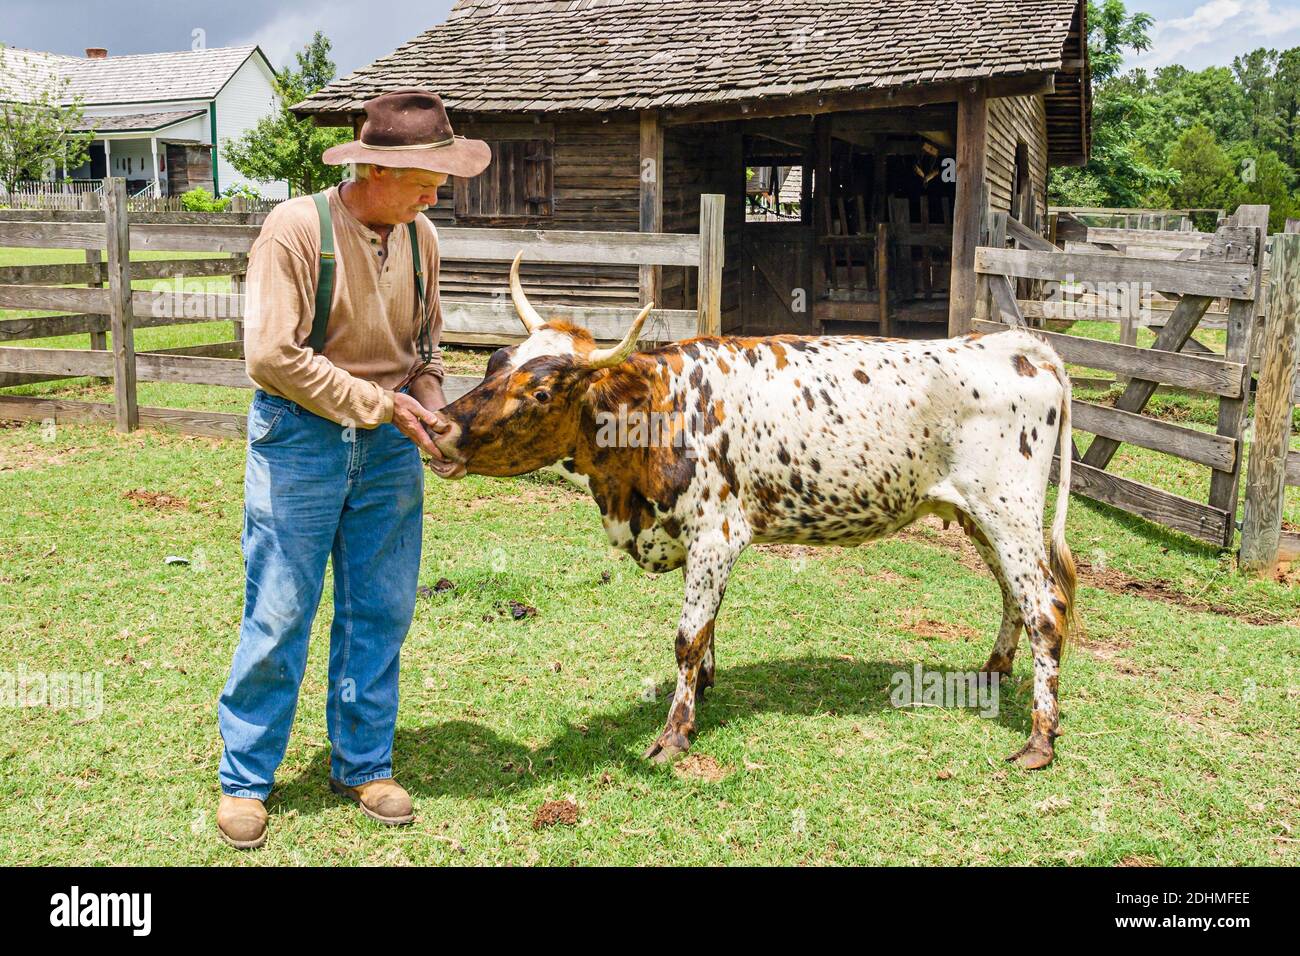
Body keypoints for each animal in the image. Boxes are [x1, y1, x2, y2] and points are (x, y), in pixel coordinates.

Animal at [426, 254, 1076, 770]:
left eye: (539, 392)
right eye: (495, 361)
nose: (439, 428)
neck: (660, 409)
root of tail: (1018, 346)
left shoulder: (717, 535)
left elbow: (688, 635)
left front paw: (675, 732)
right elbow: (707, 626)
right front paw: (706, 688)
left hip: (1010, 514)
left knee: (1046, 608)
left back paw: (1040, 741)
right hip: (980, 518)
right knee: (1013, 596)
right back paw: (993, 670)